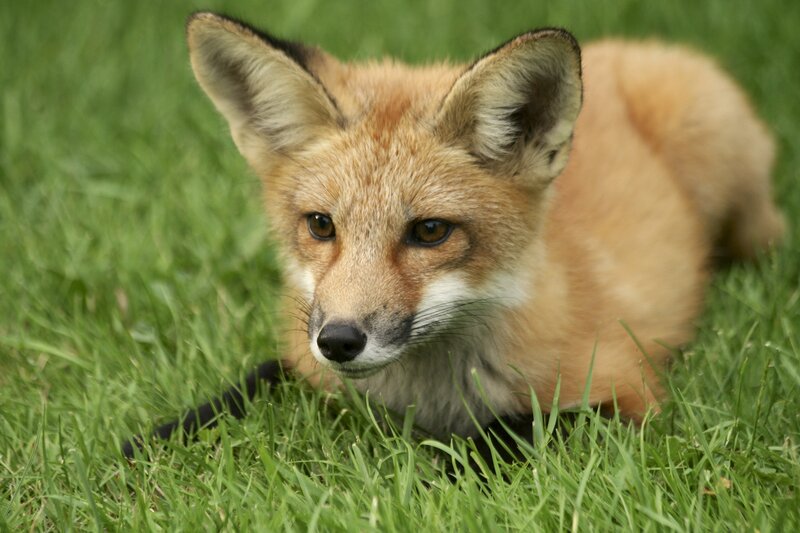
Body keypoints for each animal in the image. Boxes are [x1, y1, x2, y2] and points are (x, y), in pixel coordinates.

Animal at [122, 12, 785, 458]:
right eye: (321, 225)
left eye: (430, 231)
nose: (340, 341)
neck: (424, 394)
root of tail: (625, 49)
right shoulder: (305, 368)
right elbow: (246, 386)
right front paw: (138, 451)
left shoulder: (625, 393)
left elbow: (491, 441)